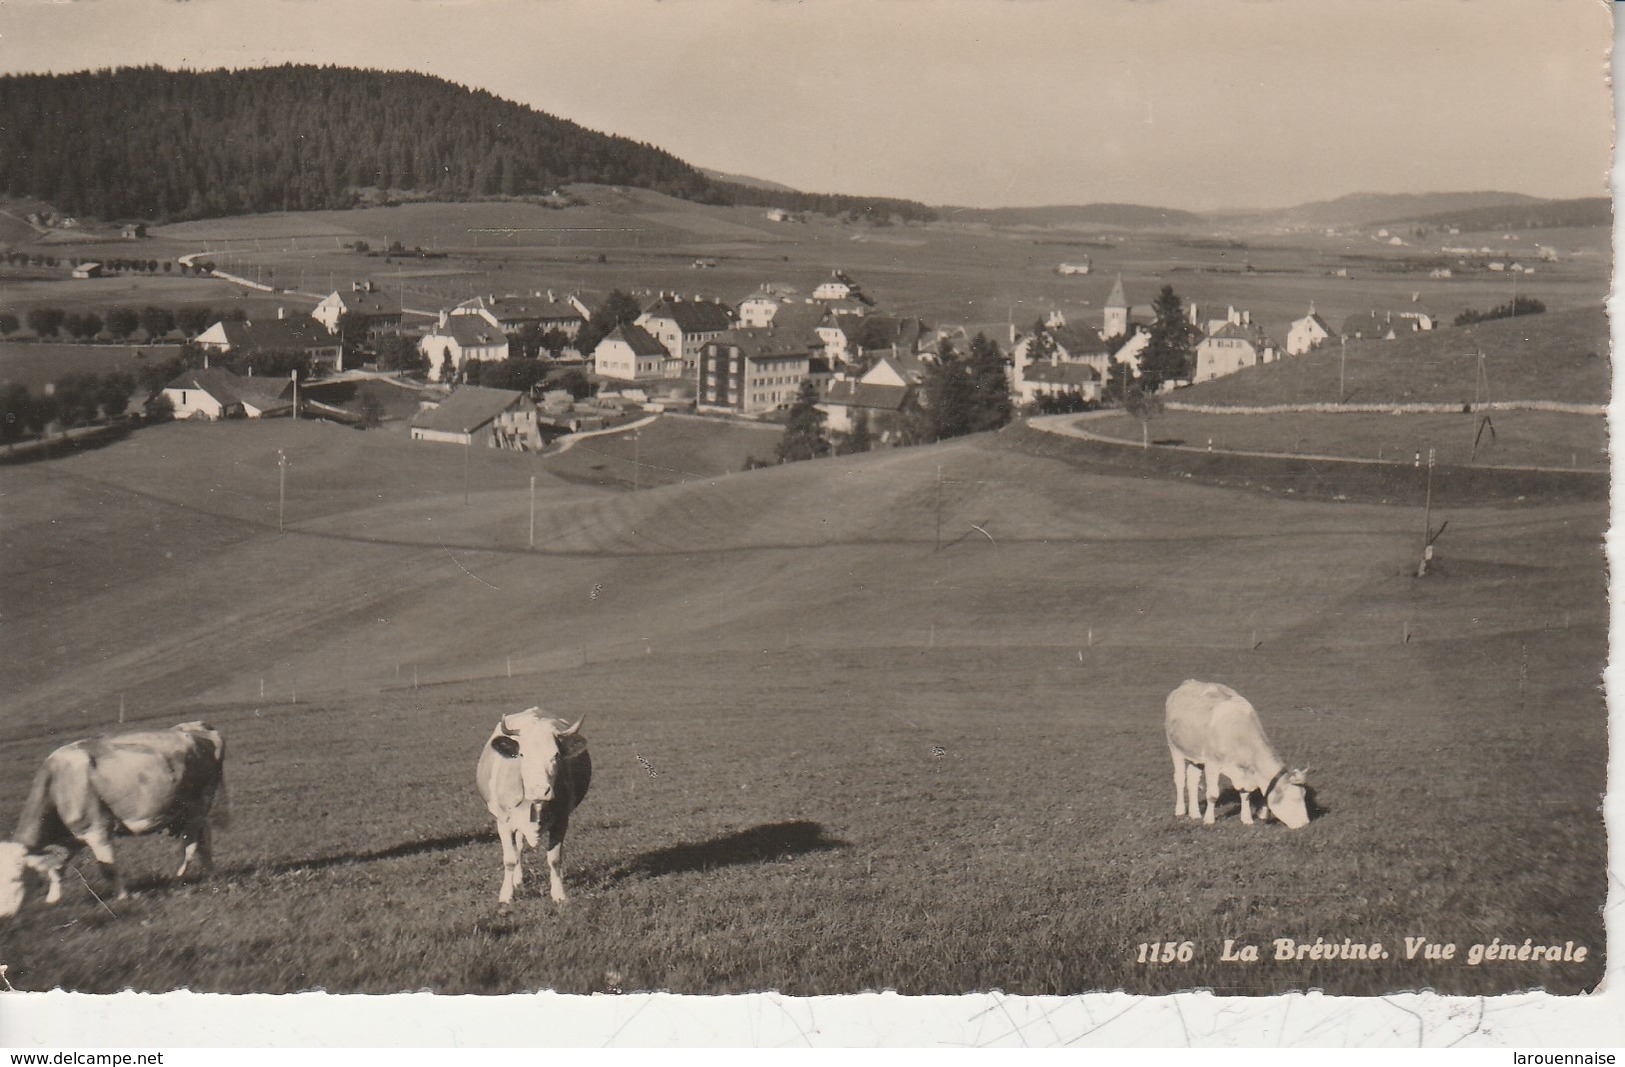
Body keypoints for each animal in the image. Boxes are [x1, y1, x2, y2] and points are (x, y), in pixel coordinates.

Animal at [0, 714, 229, 915]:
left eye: (16, 879)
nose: (6, 915)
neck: (58, 782)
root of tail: (192, 726)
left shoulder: (97, 830)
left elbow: (108, 869)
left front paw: (122, 897)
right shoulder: (69, 838)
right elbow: (56, 869)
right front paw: (53, 899)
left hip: (198, 805)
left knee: (193, 845)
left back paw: (179, 878)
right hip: (189, 811)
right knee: (204, 841)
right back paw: (211, 875)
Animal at [474, 708, 591, 909]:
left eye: (556, 755)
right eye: (522, 755)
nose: (539, 790)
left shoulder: (562, 821)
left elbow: (554, 859)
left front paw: (559, 895)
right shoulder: (503, 822)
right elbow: (510, 859)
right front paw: (506, 895)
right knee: (518, 849)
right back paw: (517, 880)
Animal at [1163, 678, 1313, 828]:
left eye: (1304, 795)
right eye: (1293, 798)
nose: (1305, 823)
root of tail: (1188, 683)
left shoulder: (1243, 773)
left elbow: (1245, 794)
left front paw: (1247, 819)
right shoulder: (1212, 763)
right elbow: (1212, 795)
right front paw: (1209, 820)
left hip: (1196, 756)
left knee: (1193, 779)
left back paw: (1195, 813)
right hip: (1174, 747)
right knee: (1180, 779)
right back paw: (1180, 810)